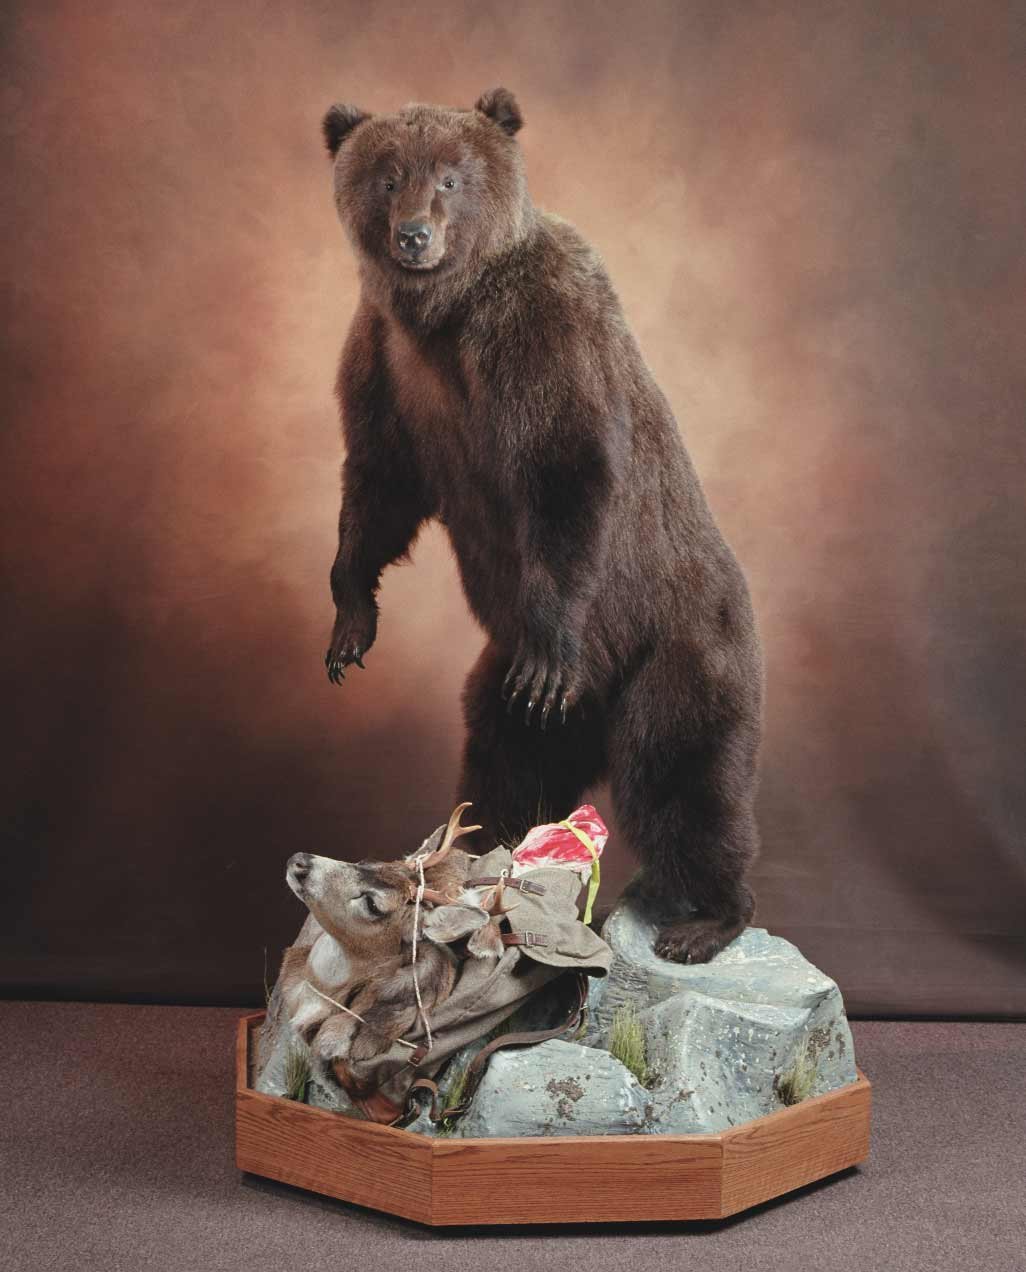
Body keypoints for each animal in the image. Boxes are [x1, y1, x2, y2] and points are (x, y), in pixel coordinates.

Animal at [321, 87, 764, 964]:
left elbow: (566, 469)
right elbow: (380, 483)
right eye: (388, 175)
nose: (413, 235)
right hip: (519, 701)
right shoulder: (387, 358)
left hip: (675, 649)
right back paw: (478, 860)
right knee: (506, 762)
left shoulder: (539, 334)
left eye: (451, 177)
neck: (445, 313)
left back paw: (708, 916)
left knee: (681, 776)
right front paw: (350, 621)